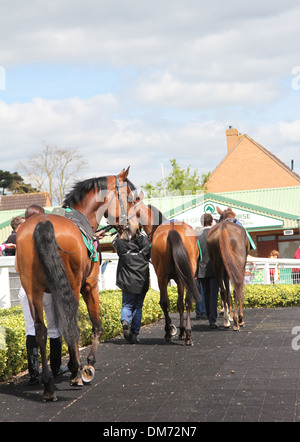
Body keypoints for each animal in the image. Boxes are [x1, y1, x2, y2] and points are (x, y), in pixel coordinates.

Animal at [15, 167, 139, 402]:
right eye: (131, 198)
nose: (134, 229)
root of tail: (42, 224)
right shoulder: (90, 285)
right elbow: (96, 325)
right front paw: (86, 366)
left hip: (33, 290)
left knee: (40, 330)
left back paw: (48, 385)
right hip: (72, 285)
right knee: (71, 321)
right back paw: (76, 373)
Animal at [125, 195, 200, 348]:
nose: (133, 232)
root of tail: (172, 230)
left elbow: (174, 303)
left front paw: (175, 331)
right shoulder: (180, 278)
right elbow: (180, 303)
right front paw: (182, 332)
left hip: (163, 276)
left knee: (166, 302)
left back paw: (170, 333)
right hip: (184, 274)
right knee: (187, 301)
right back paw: (188, 335)